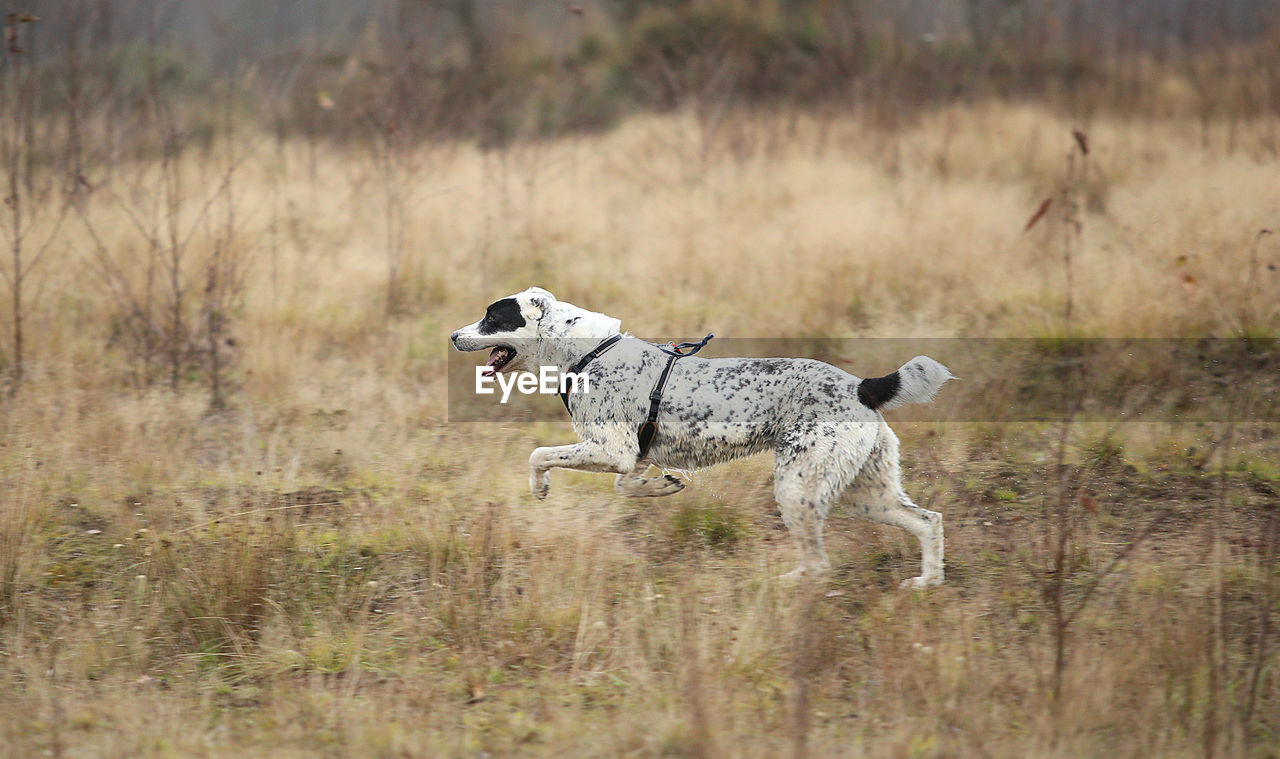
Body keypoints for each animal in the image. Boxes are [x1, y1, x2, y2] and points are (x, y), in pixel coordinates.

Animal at [450, 286, 952, 583]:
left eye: (491, 317)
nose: (454, 335)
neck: (587, 353)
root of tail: (862, 386)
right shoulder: (632, 455)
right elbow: (628, 486)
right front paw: (663, 487)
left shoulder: (612, 450)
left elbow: (539, 454)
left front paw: (540, 488)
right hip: (867, 494)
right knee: (929, 521)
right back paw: (926, 583)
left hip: (799, 488)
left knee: (818, 565)